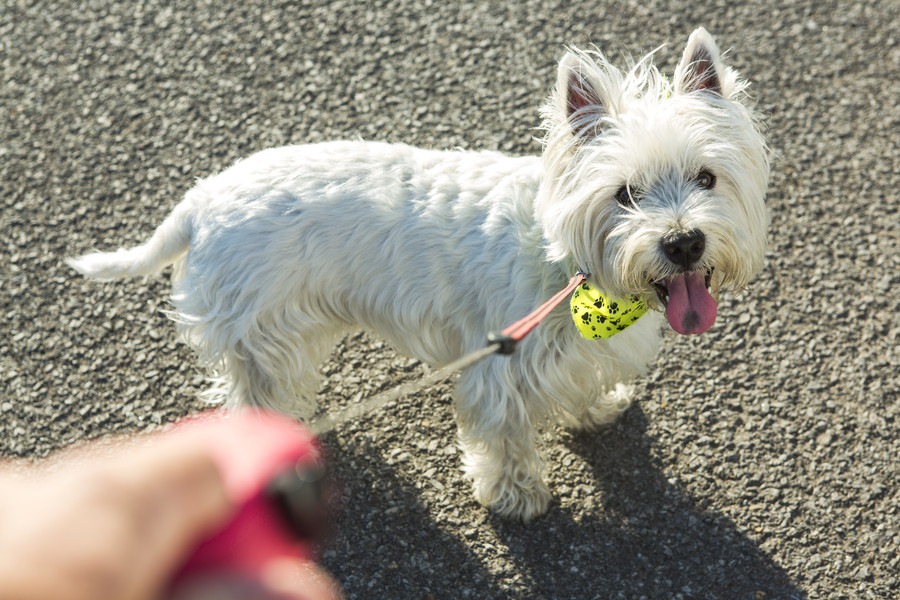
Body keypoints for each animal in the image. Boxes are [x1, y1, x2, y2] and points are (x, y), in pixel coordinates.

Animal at [68, 28, 768, 520]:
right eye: (624, 194)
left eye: (707, 177)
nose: (683, 243)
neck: (574, 269)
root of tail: (199, 203)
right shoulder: (498, 364)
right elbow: (505, 437)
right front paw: (517, 497)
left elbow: (583, 387)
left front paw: (598, 409)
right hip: (263, 333)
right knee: (252, 396)